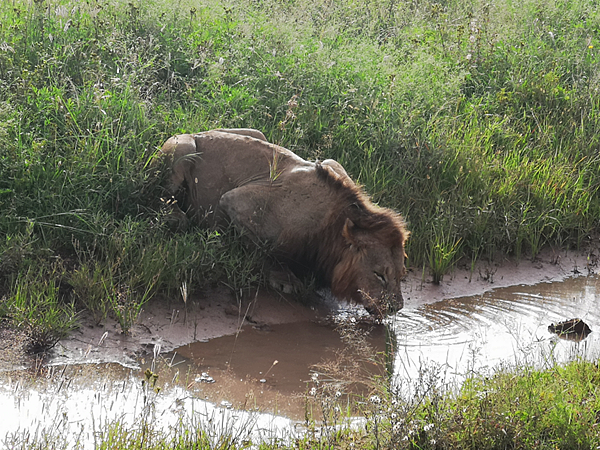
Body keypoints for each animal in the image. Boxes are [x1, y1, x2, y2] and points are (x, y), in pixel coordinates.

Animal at [157, 126, 410, 316]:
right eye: (379, 274)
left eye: (400, 275)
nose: (396, 308)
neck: (331, 224)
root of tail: (198, 131)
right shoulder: (236, 201)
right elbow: (266, 252)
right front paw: (286, 279)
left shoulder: (332, 163)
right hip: (184, 147)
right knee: (162, 197)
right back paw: (177, 217)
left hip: (256, 132)